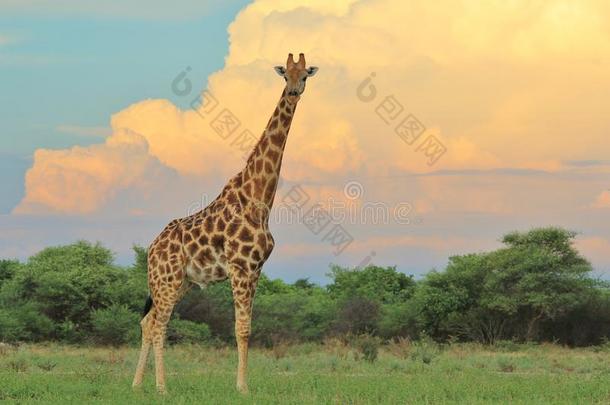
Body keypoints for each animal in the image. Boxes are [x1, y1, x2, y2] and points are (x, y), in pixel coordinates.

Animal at [130, 52, 316, 392]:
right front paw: (242, 387)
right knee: (159, 324)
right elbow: (241, 329)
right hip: (166, 279)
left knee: (148, 321)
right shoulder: (242, 268)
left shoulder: (255, 270)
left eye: (305, 74)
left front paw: (243, 384)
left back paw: (137, 384)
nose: (294, 92)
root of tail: (151, 249)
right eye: (285, 75)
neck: (260, 200)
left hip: (181, 282)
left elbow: (247, 328)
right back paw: (162, 387)